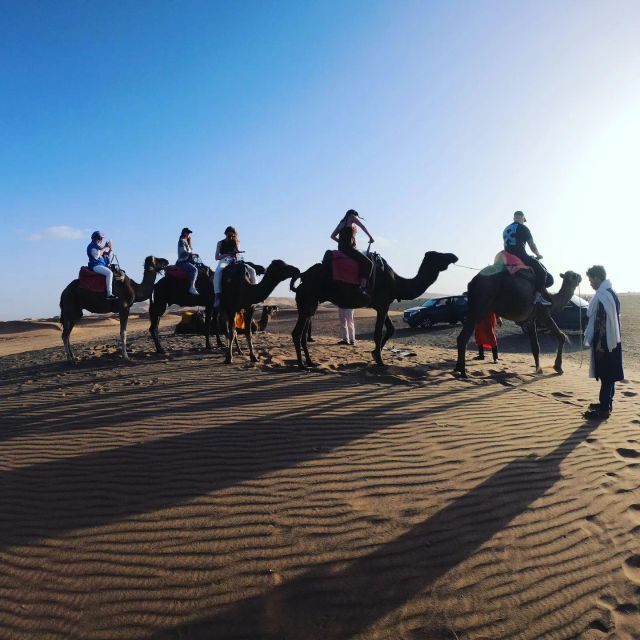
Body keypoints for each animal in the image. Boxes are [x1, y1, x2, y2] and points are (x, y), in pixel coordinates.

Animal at [292, 251, 458, 368]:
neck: (397, 283)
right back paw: (302, 365)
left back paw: (310, 363)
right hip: (307, 300)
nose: (454, 256)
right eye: (439, 255)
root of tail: (303, 277)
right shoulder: (383, 304)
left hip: (310, 304)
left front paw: (374, 354)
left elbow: (391, 329)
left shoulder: (383, 305)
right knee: (297, 333)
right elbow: (378, 333)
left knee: (302, 333)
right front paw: (380, 361)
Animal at [452, 268, 584, 378]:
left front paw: (539, 369)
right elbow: (561, 336)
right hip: (480, 305)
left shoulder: (531, 319)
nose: (581, 276)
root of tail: (473, 281)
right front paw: (558, 367)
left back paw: (457, 369)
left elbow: (535, 347)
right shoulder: (543, 313)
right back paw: (463, 372)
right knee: (463, 337)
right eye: (574, 276)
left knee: (461, 337)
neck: (552, 300)